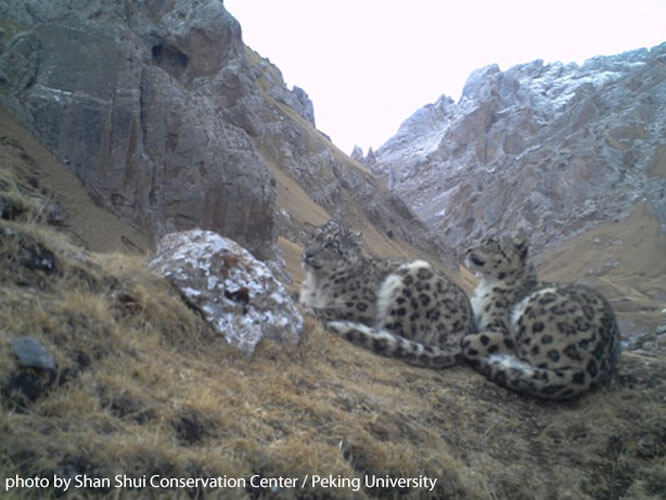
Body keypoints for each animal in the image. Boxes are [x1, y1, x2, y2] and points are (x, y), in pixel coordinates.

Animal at [299, 221, 475, 368]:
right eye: (314, 237)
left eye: (330, 245)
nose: (308, 254)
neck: (317, 283)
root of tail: (463, 333)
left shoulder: (359, 307)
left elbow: (325, 310)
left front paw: (309, 309)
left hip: (409, 285)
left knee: (392, 333)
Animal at [462, 232, 621, 399]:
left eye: (491, 242)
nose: (468, 249)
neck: (485, 285)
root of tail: (589, 365)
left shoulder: (499, 329)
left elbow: (480, 340)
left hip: (534, 311)